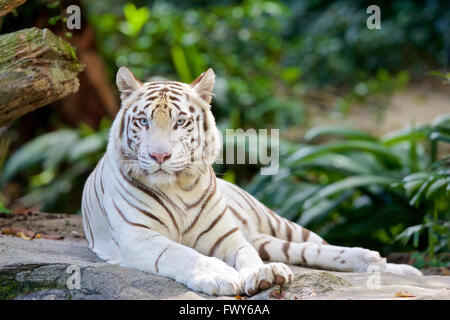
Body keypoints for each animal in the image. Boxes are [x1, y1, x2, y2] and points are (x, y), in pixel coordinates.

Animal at [81, 67, 422, 298]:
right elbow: (183, 254)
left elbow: (246, 256)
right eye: (143, 121)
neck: (177, 188)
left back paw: (384, 264)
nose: (159, 155)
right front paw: (220, 276)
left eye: (180, 122)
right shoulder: (138, 236)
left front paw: (263, 274)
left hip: (277, 225)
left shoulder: (228, 236)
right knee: (300, 251)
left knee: (315, 246)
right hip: (265, 237)